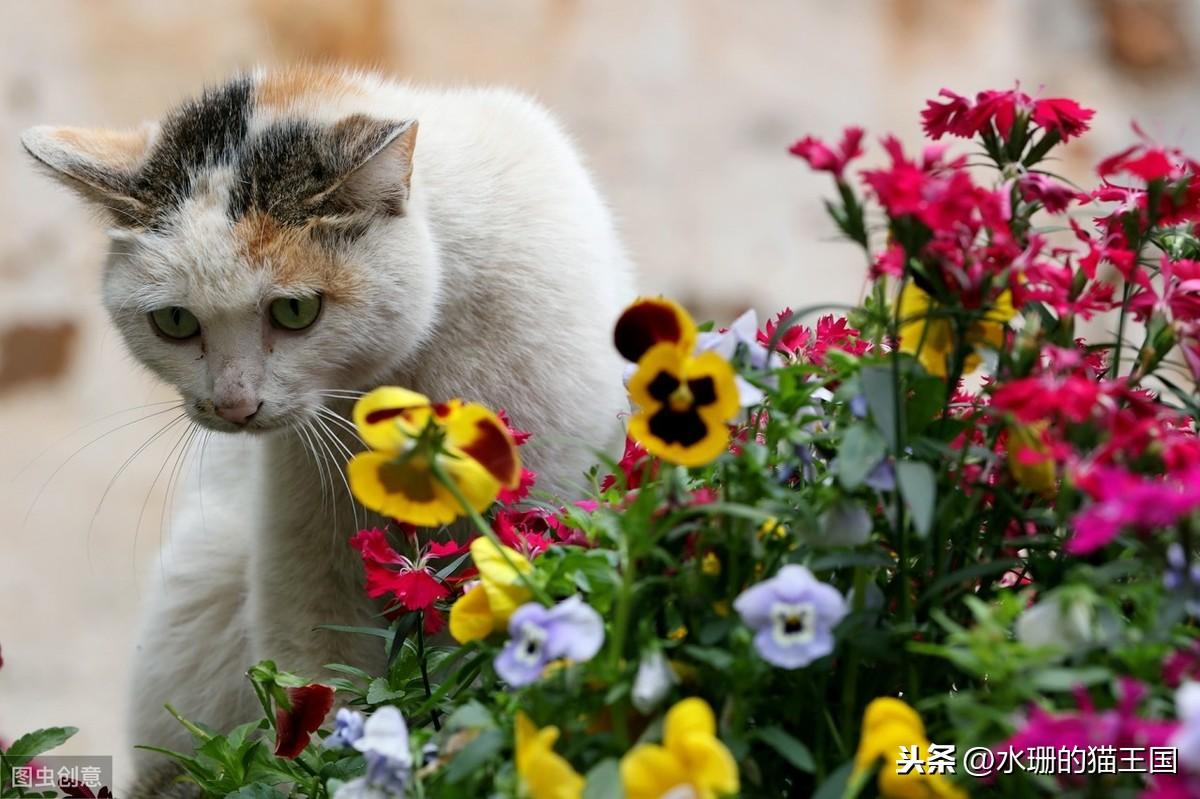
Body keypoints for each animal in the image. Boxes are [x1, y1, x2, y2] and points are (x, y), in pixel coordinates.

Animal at [21, 65, 638, 791]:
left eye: (295, 311)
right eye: (174, 322)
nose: (232, 405)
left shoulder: (547, 503)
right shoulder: (308, 556)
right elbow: (319, 687)